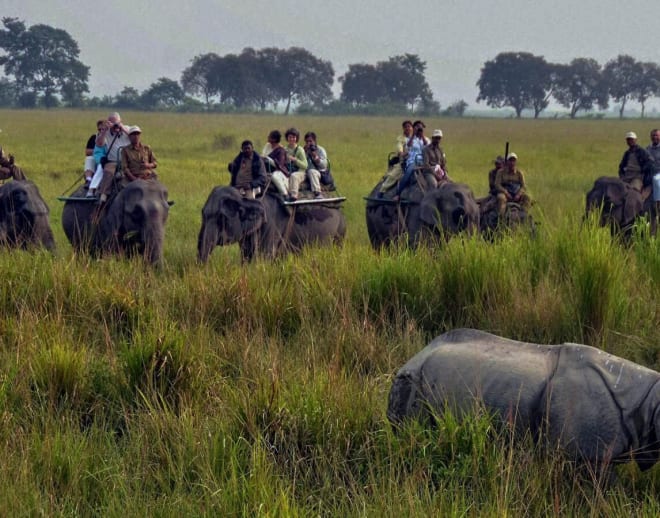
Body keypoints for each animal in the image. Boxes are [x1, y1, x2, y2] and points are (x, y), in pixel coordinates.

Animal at [199, 186, 348, 264]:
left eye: (221, 218)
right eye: (203, 215)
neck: (246, 197)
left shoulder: (271, 225)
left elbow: (265, 258)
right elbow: (246, 257)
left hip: (340, 231)